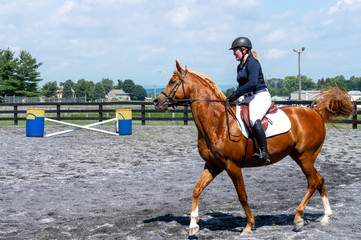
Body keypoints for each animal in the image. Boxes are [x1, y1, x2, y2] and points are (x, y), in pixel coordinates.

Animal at [152, 60, 352, 236]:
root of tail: (315, 112)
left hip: (305, 156)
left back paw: (298, 218)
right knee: (319, 179)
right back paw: (326, 216)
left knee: (313, 182)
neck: (217, 121)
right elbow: (196, 189)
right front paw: (193, 225)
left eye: (172, 81)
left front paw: (248, 226)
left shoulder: (232, 166)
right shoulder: (213, 164)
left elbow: (242, 196)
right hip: (300, 156)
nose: (156, 102)